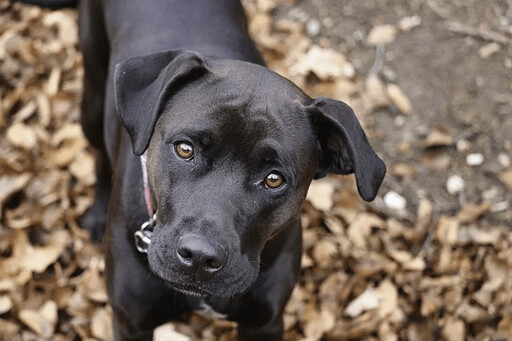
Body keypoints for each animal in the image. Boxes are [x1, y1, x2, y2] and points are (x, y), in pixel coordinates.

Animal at [16, 1, 384, 338]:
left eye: (274, 180)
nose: (199, 257)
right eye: (185, 149)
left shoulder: (264, 323)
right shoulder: (130, 322)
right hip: (93, 97)